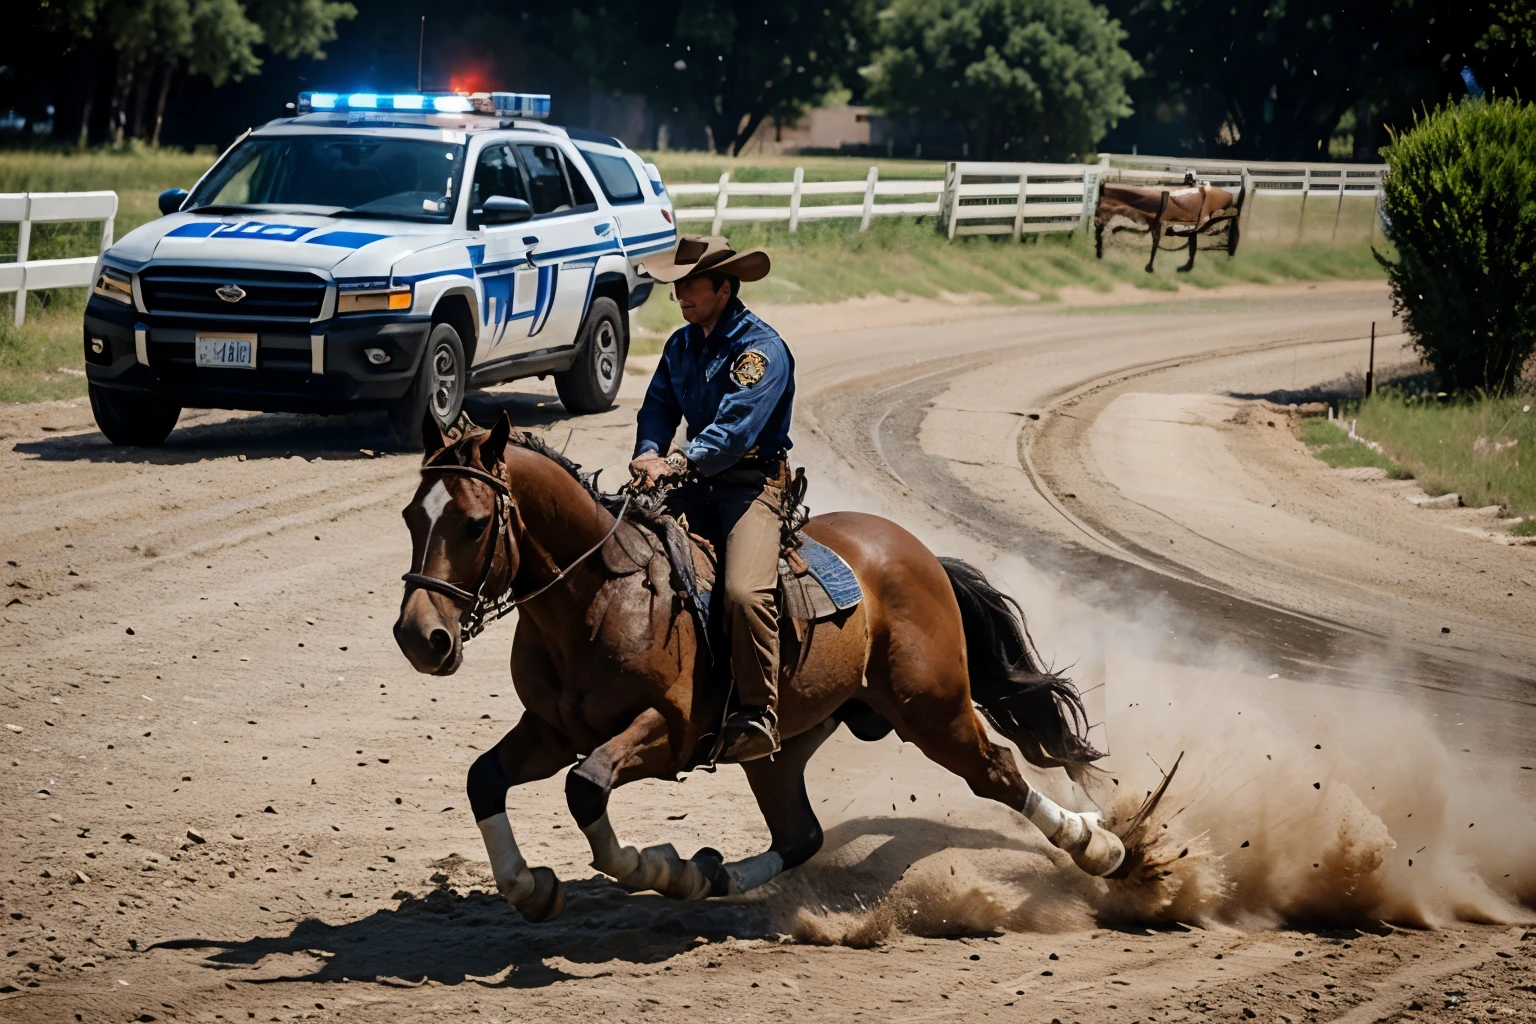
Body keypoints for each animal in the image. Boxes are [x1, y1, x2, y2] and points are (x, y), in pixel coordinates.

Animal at [390, 411, 1124, 927]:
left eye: (475, 523)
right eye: (410, 515)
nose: (419, 636)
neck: (602, 596)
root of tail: (916, 552)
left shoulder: (669, 732)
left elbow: (587, 787)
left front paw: (646, 865)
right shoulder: (550, 729)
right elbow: (485, 779)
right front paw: (531, 888)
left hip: (932, 710)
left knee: (996, 772)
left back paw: (1102, 848)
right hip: (780, 746)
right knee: (801, 833)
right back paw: (708, 877)